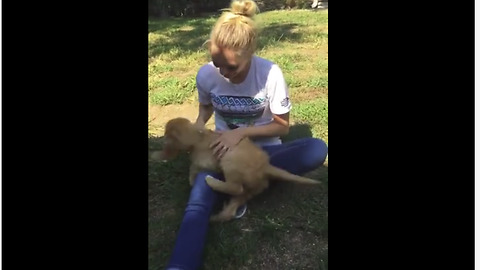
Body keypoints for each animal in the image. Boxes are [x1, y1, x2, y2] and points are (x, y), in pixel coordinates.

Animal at [156, 117, 320, 223]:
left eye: (167, 133)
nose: (163, 141)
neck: (197, 137)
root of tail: (265, 166)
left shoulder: (204, 161)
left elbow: (193, 167)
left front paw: (191, 180)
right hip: (248, 191)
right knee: (232, 207)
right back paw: (215, 217)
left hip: (230, 162)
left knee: (235, 187)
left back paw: (211, 181)